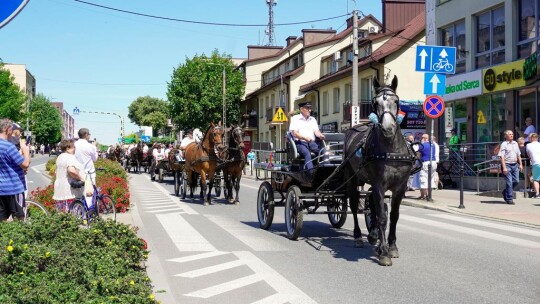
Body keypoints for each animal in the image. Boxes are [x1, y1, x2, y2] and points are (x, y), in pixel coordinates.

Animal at [344, 76, 416, 266]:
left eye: (396, 101)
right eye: (375, 103)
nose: (388, 128)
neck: (391, 149)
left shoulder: (400, 187)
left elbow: (393, 215)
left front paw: (392, 247)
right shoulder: (379, 184)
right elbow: (383, 217)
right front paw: (383, 252)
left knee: (373, 205)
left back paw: (373, 235)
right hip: (351, 178)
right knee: (354, 205)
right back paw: (358, 237)